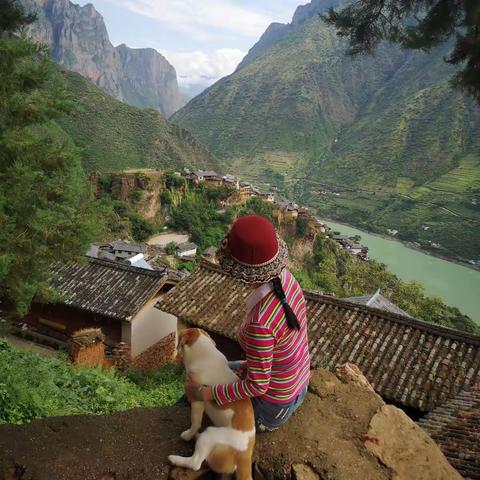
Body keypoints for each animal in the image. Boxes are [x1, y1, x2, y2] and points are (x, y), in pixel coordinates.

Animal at [171, 328, 256, 480]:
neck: (204, 353)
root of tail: (245, 456)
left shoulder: (197, 400)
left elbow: (195, 422)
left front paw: (188, 434)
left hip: (210, 435)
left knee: (195, 463)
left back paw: (175, 458)